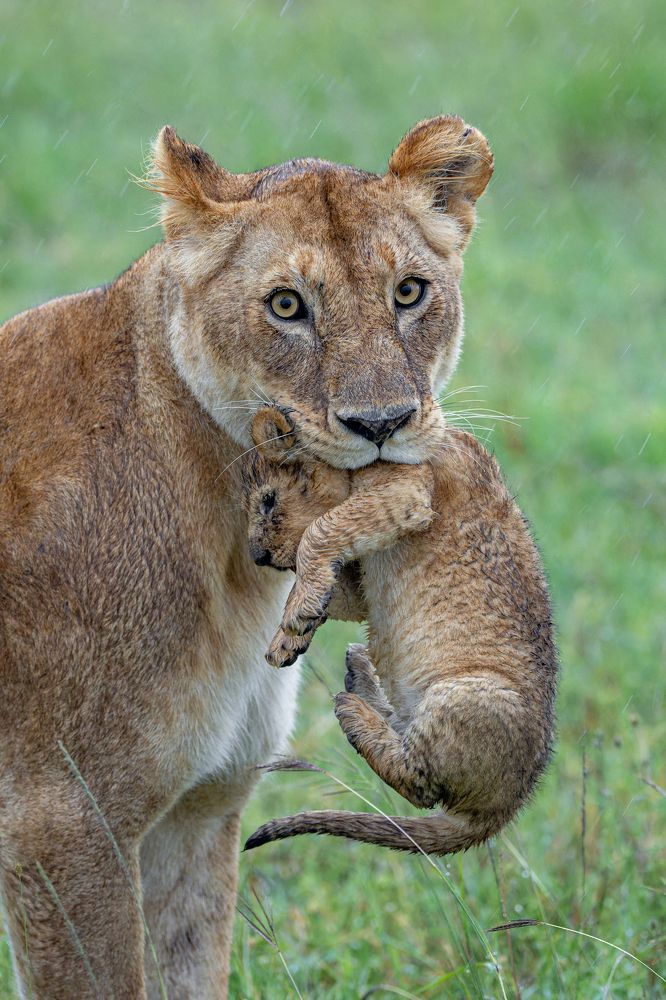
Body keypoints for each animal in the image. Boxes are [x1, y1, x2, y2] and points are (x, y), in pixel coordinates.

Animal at [240, 408, 557, 856]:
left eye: (268, 501)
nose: (258, 557)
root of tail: (502, 809)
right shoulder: (358, 584)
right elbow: (334, 581)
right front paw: (293, 635)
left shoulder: (406, 491)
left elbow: (320, 532)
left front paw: (295, 620)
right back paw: (359, 679)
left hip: (468, 696)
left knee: (419, 783)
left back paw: (354, 711)